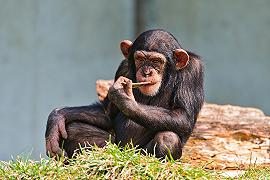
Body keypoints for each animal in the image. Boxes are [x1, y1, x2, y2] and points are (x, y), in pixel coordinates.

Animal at [45, 29, 204, 159]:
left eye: (156, 61)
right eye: (140, 59)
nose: (147, 72)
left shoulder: (193, 71)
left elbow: (183, 115)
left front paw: (125, 99)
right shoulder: (123, 68)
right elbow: (107, 112)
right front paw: (57, 117)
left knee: (168, 138)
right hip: (116, 146)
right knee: (74, 129)